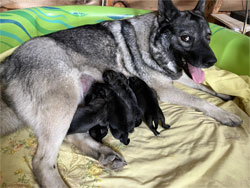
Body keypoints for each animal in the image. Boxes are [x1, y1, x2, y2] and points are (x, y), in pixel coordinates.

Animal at [0, 0, 242, 187]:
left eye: (209, 37)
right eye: (186, 38)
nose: (212, 61)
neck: (153, 40)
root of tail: (8, 63)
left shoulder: (177, 77)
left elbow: (204, 88)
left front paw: (224, 96)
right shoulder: (165, 89)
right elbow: (199, 99)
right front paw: (225, 114)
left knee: (71, 135)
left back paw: (104, 153)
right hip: (65, 98)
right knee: (43, 162)